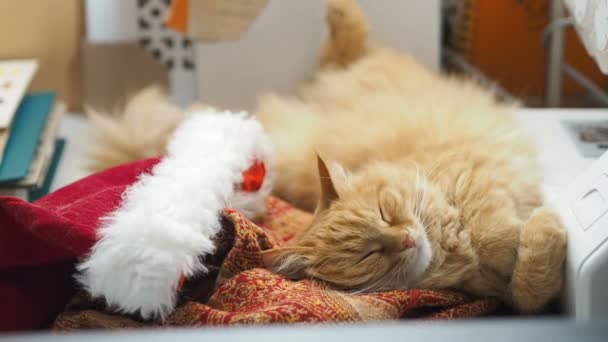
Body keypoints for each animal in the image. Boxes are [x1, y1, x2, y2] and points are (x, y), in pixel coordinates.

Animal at [256, 0, 564, 312]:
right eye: (368, 255)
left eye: (384, 212)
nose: (405, 240)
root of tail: (319, 88)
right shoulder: (497, 294)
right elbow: (527, 291)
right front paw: (540, 228)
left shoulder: (474, 174)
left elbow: (495, 235)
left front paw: (524, 231)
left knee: (347, 43)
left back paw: (340, 11)